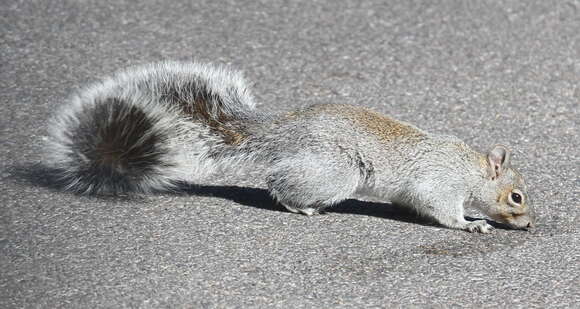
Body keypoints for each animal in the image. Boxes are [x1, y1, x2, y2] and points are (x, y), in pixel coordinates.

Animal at [44, 61, 536, 232]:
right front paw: (470, 224)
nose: (529, 225)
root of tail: (284, 132)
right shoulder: (439, 182)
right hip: (338, 170)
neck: (470, 170)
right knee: (278, 183)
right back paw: (301, 206)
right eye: (516, 196)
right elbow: (440, 209)